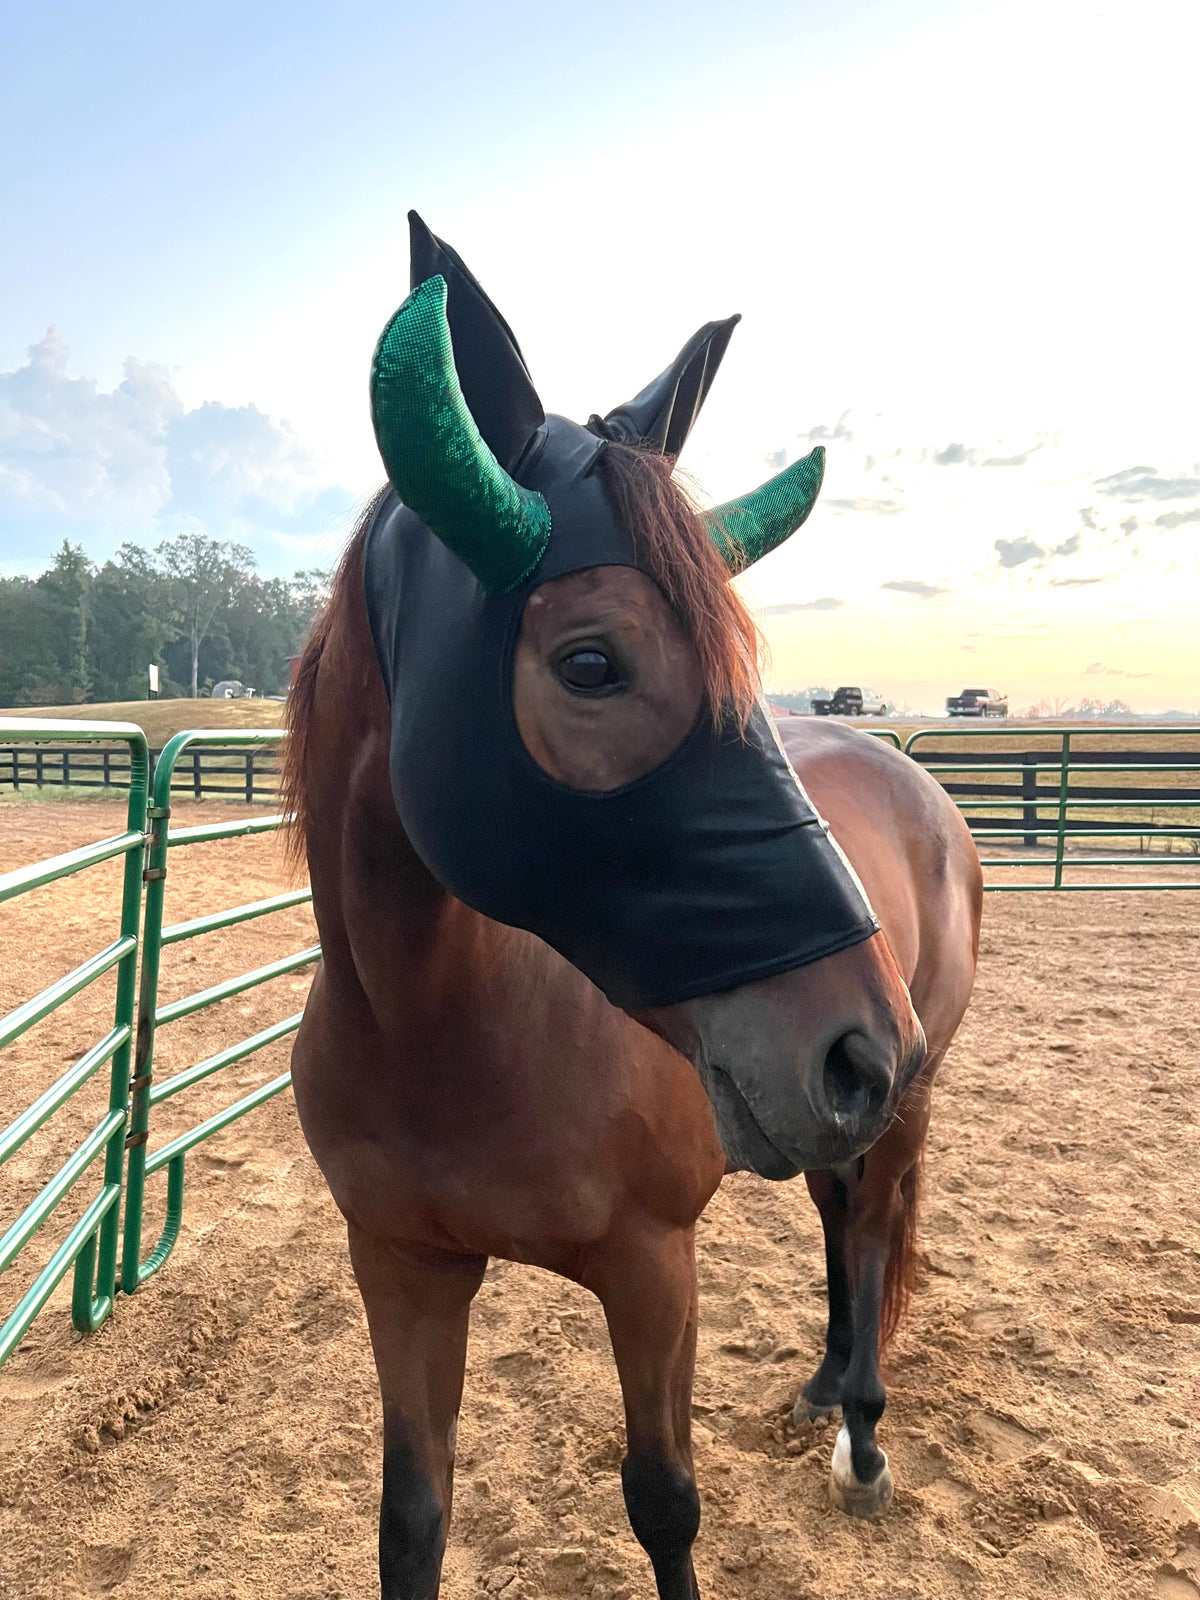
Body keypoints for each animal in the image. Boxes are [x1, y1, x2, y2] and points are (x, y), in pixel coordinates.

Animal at [284, 216, 981, 1600]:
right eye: (592, 662)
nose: (863, 1044)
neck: (442, 1033)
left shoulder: (654, 1271)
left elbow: (663, 1500)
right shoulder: (400, 1271)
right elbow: (412, 1522)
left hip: (903, 1116)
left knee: (874, 1234)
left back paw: (865, 1434)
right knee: (836, 1216)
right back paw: (824, 1381)